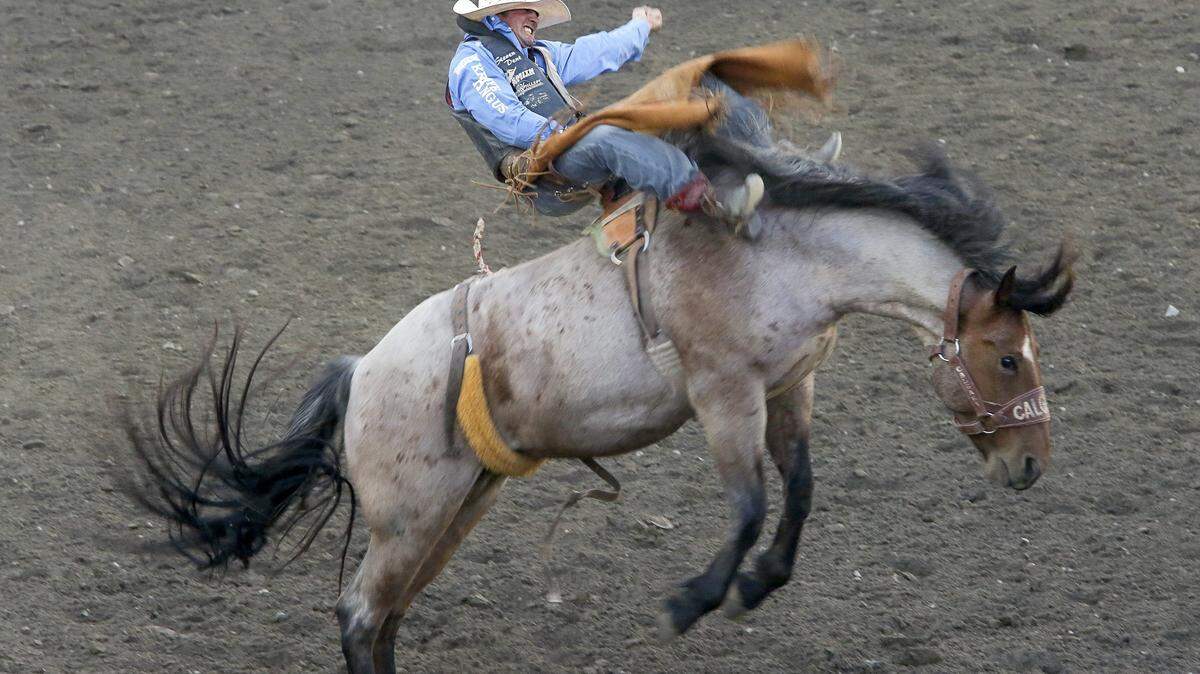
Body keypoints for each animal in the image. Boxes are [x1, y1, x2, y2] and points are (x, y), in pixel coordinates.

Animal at [126, 138, 1074, 673]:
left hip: (454, 509)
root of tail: (361, 372)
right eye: (1005, 357)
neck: (782, 257)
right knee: (361, 616)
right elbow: (748, 504)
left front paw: (759, 584)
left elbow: (799, 491)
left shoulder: (789, 387)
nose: (1030, 464)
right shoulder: (722, 394)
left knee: (383, 617)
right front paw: (695, 602)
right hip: (410, 514)